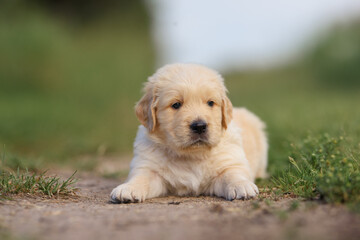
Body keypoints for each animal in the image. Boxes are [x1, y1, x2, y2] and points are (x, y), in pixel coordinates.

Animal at [109, 62, 268, 202]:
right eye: (176, 104)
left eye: (210, 103)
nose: (199, 126)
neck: (191, 156)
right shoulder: (148, 167)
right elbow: (141, 178)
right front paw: (128, 188)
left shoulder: (230, 162)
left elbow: (232, 174)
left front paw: (241, 185)